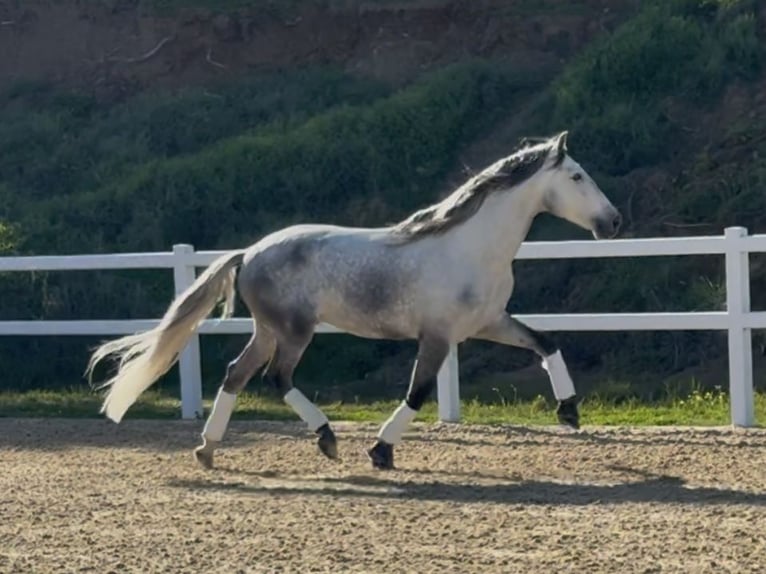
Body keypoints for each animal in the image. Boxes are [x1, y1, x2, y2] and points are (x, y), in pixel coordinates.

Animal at [85, 130, 621, 471]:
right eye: (577, 176)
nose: (613, 222)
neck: (472, 247)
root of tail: (250, 252)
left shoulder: (488, 322)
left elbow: (546, 342)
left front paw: (569, 413)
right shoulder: (438, 336)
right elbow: (417, 393)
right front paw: (381, 452)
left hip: (268, 330)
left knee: (236, 374)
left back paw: (208, 449)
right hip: (295, 331)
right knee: (277, 378)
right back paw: (326, 439)